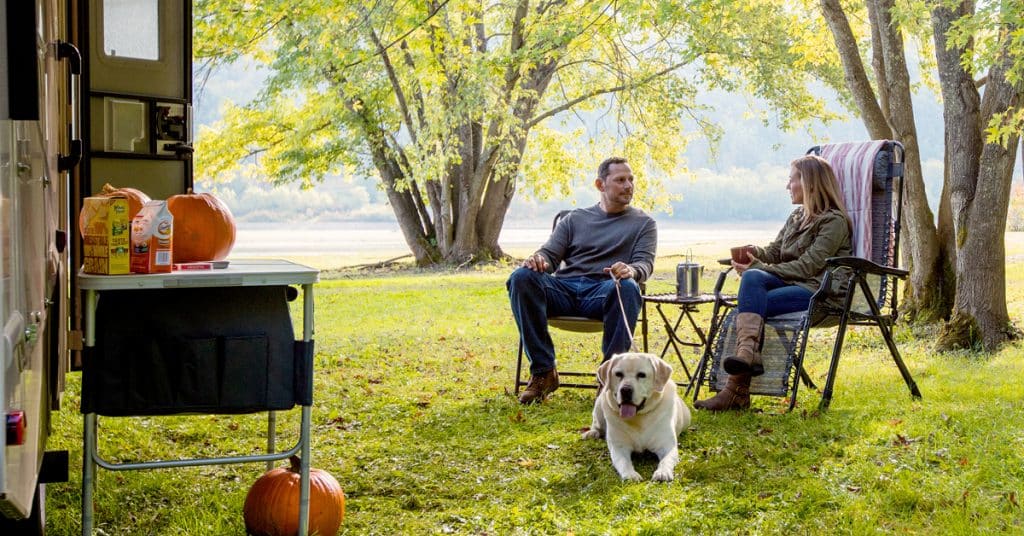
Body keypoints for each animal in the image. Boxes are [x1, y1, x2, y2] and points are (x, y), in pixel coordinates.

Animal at [585, 352, 688, 481]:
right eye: (618, 374)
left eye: (641, 375)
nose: (625, 390)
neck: (638, 418)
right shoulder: (619, 447)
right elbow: (624, 462)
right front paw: (631, 475)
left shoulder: (667, 445)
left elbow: (666, 460)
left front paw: (663, 472)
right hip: (599, 404)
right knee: (596, 424)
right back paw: (592, 433)